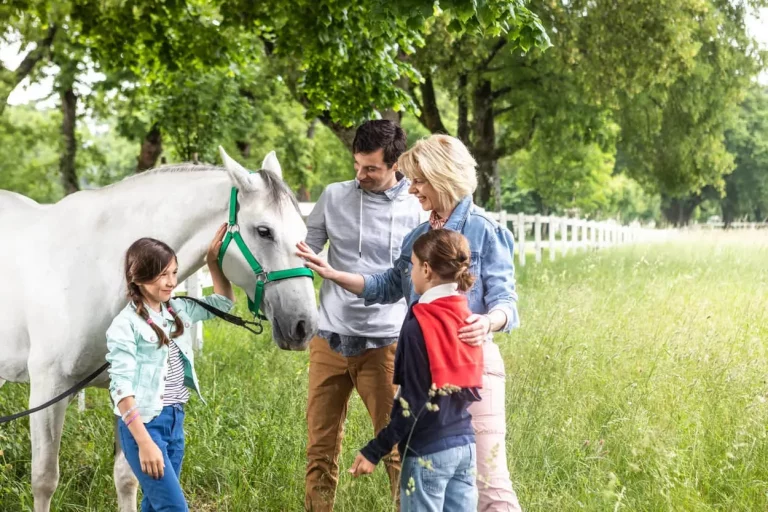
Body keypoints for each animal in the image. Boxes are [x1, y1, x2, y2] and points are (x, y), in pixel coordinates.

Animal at [0, 147, 318, 508]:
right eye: (264, 231)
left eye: (303, 231)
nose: (303, 325)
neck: (97, 269)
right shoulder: (48, 390)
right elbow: (44, 480)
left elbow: (128, 477)